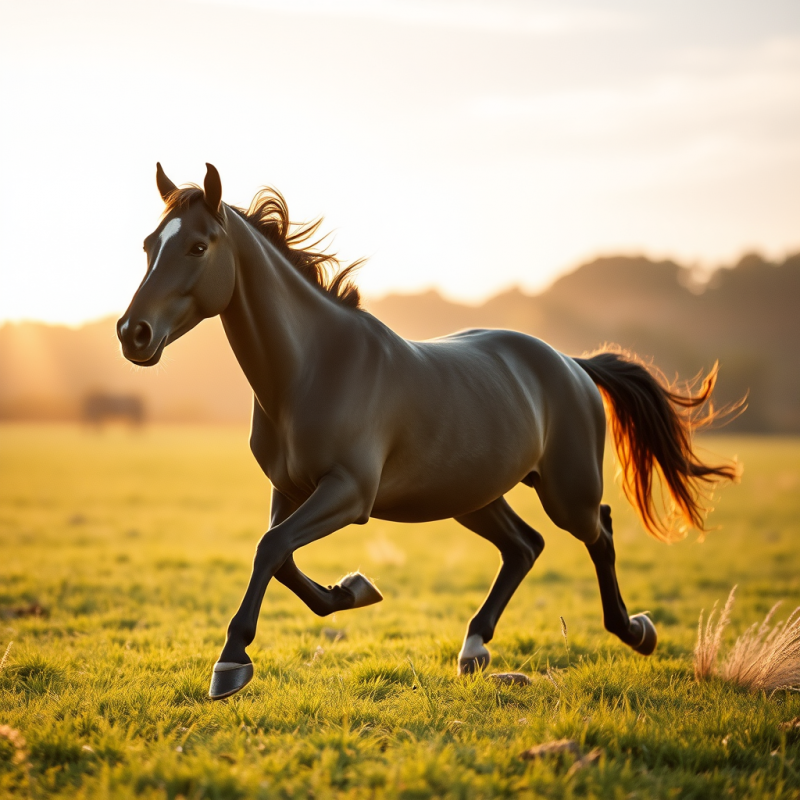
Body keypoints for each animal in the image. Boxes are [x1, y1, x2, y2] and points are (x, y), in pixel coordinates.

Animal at [117, 163, 739, 700]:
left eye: (198, 246)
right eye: (149, 244)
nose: (132, 333)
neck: (314, 368)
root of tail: (573, 364)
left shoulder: (349, 493)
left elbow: (270, 549)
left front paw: (230, 664)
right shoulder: (289, 489)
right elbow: (280, 556)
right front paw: (353, 590)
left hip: (567, 491)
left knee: (599, 533)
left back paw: (636, 631)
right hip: (472, 495)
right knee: (524, 546)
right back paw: (474, 648)